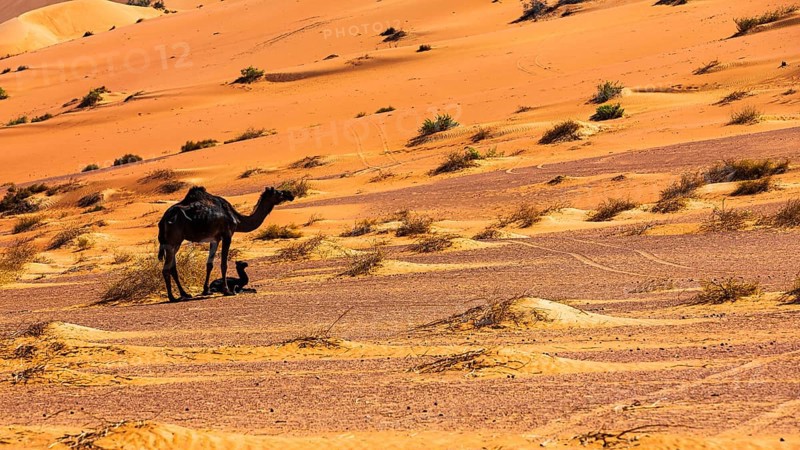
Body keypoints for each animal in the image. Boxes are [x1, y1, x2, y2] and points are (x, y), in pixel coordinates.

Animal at [158, 186, 294, 302]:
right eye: (278, 192)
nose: (290, 194)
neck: (238, 219)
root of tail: (163, 220)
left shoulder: (215, 239)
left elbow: (209, 264)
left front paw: (206, 290)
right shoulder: (227, 235)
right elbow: (224, 264)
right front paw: (227, 290)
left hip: (174, 242)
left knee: (172, 267)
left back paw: (185, 294)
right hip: (173, 240)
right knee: (166, 269)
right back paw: (172, 297)